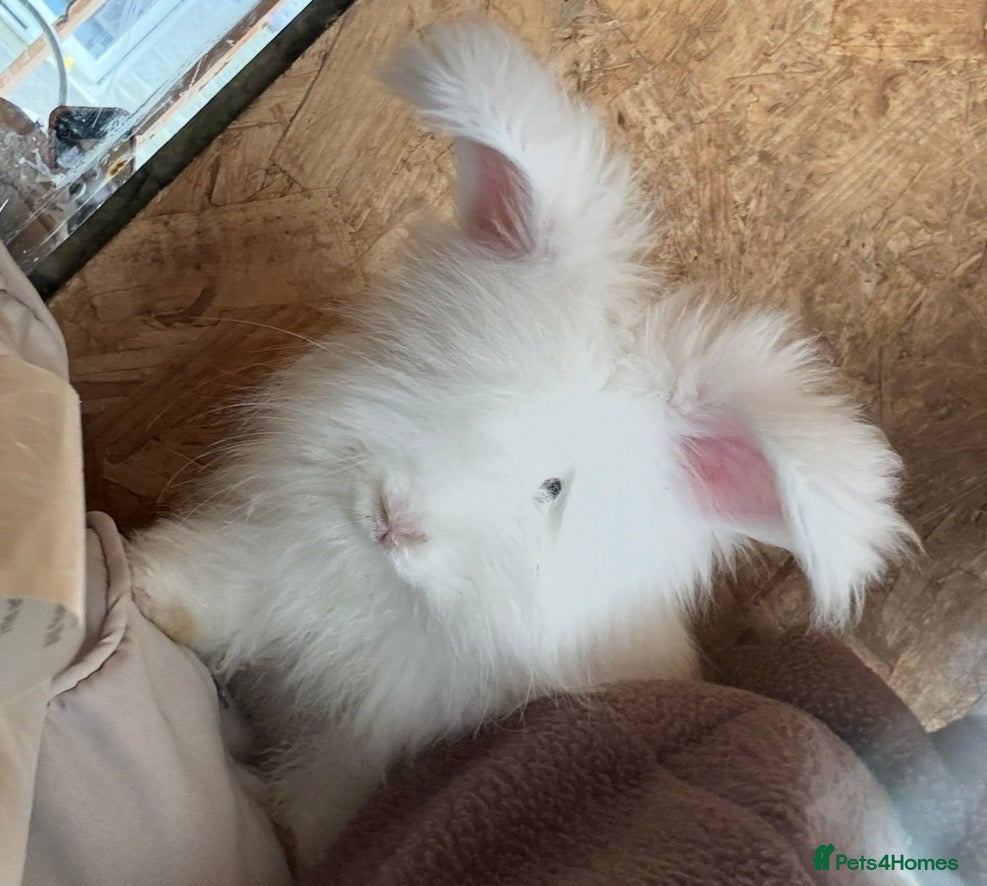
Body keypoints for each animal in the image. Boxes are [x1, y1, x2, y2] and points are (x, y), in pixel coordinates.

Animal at [128, 21, 915, 868]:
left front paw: (302, 846)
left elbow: (324, 796)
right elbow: (222, 591)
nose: (394, 520)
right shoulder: (272, 562)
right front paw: (145, 590)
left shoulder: (364, 744)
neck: (385, 592)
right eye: (448, 380)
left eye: (551, 489)